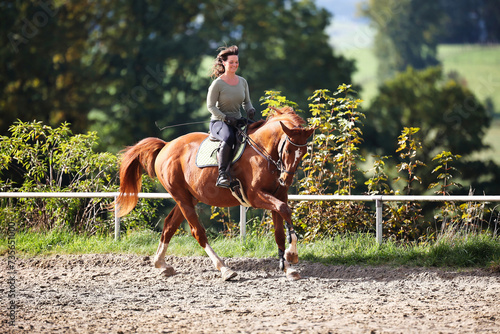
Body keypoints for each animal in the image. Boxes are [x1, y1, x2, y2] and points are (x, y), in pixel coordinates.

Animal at [115, 106, 314, 280]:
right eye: (288, 149)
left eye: (303, 152)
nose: (285, 180)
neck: (264, 153)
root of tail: (166, 145)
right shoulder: (255, 196)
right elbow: (285, 210)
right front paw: (292, 254)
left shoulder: (278, 195)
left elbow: (280, 229)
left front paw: (288, 267)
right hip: (181, 197)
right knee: (197, 232)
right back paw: (224, 269)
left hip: (190, 198)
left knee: (169, 225)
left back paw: (161, 264)